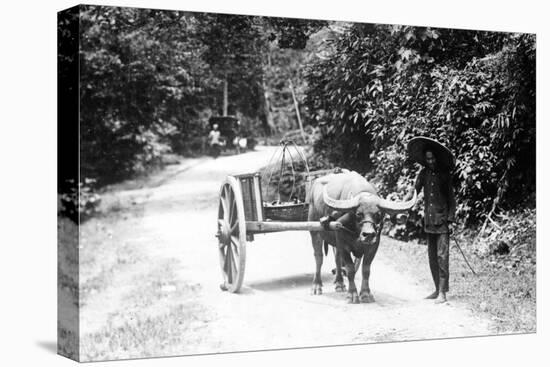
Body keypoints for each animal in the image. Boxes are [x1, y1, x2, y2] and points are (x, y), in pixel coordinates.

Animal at [308, 172, 416, 304]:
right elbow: (350, 269)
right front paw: (352, 295)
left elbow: (366, 269)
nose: (368, 235)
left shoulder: (373, 246)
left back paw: (339, 284)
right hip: (314, 232)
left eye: (378, 214)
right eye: (359, 214)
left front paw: (365, 294)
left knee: (337, 259)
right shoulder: (343, 244)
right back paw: (316, 286)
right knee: (319, 258)